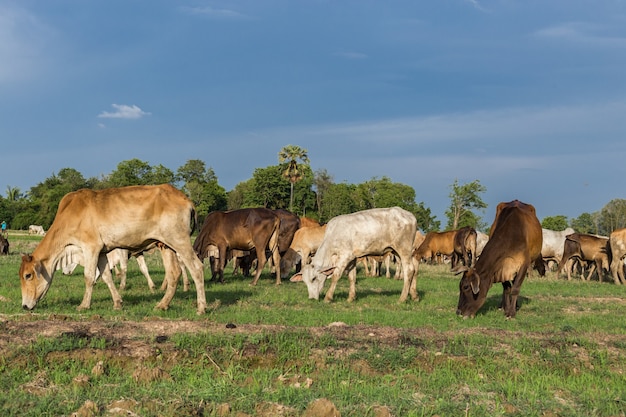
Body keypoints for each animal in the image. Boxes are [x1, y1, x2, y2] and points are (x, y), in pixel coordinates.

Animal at [18, 184, 205, 314]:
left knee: (196, 267)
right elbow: (106, 276)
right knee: (174, 273)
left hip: (179, 241)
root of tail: (184, 198)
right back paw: (162, 305)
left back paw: (201, 307)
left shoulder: (91, 247)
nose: (25, 305)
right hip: (166, 245)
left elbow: (89, 277)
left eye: (28, 275)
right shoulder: (101, 252)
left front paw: (84, 305)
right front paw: (117, 303)